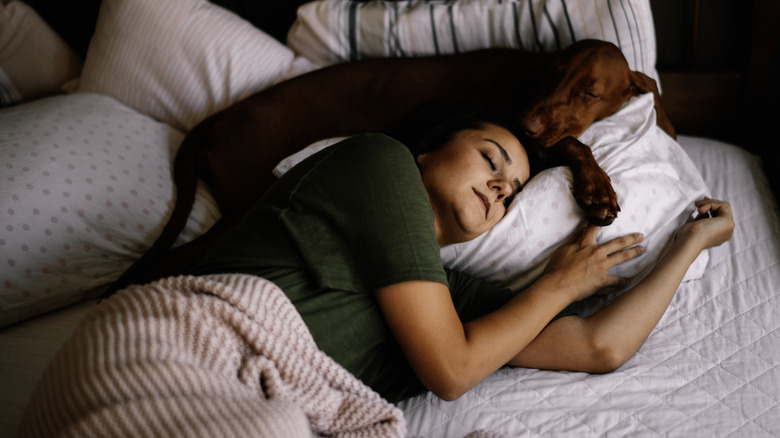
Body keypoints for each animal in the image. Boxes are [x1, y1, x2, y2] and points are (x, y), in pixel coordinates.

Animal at [111, 39, 676, 292]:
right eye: (551, 74)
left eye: (590, 92)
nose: (526, 122)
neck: (525, 79)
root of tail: (222, 116)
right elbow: (575, 144)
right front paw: (597, 188)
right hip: (244, 204)